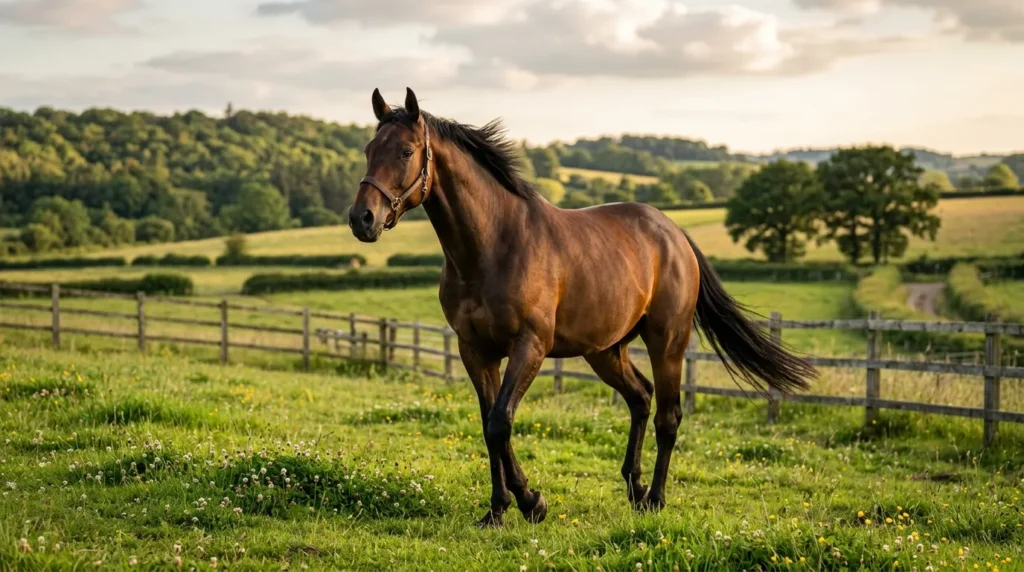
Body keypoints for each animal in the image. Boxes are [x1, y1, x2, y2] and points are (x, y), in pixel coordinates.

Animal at [347, 88, 817, 527]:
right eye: (369, 150)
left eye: (406, 151)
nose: (361, 219)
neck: (493, 245)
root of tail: (674, 233)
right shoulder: (474, 350)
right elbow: (488, 425)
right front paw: (497, 510)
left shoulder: (530, 346)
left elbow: (501, 421)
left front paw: (532, 502)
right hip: (605, 351)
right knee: (641, 398)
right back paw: (634, 488)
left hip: (667, 342)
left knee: (668, 416)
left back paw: (655, 499)